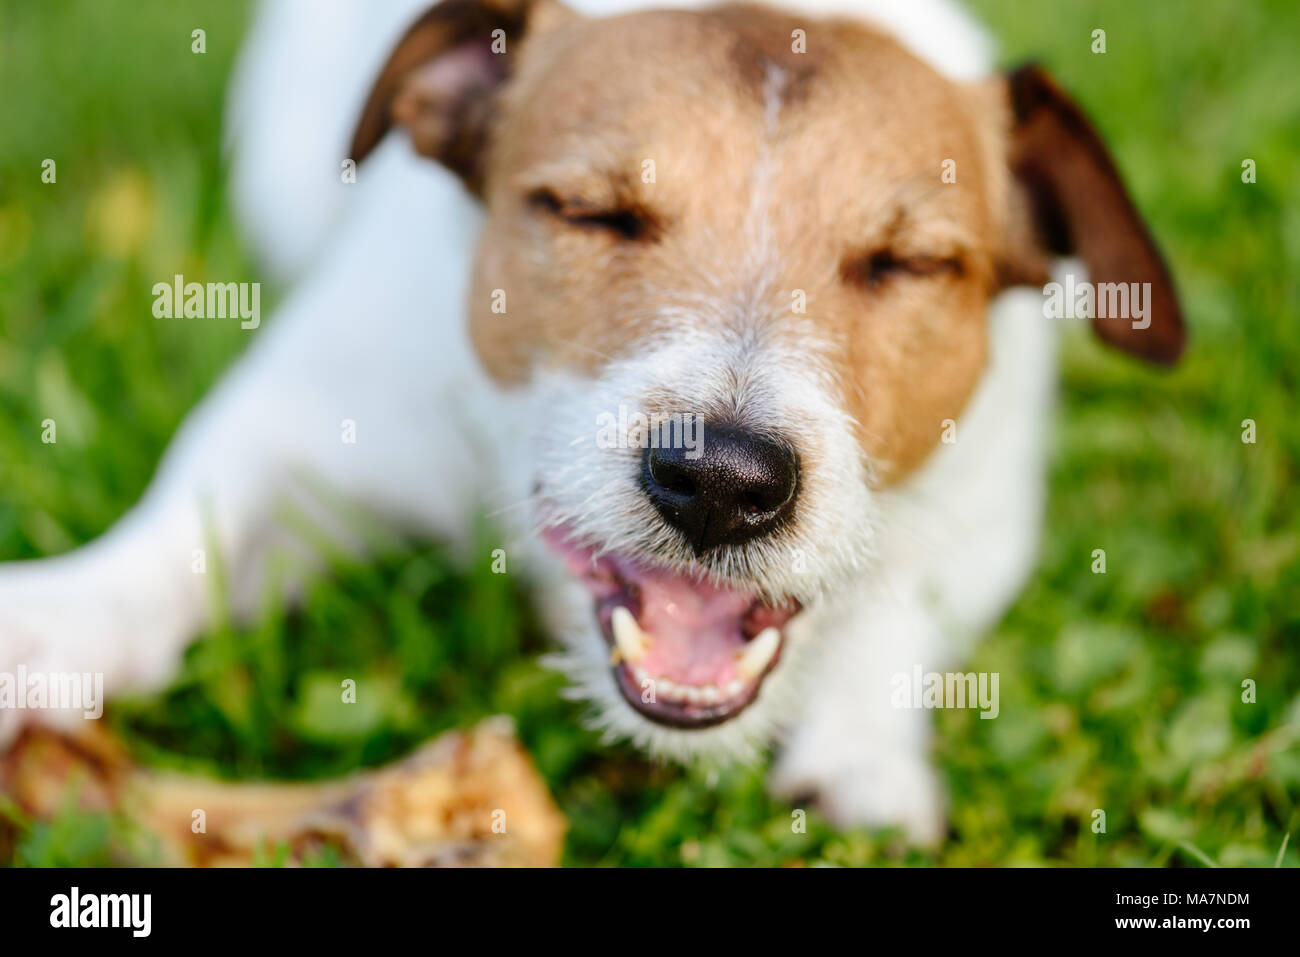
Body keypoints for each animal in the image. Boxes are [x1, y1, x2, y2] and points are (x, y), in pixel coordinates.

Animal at [0, 0, 1180, 842]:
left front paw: (863, 759)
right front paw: (56, 624)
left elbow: (897, 613)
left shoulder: (985, 511)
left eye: (909, 264)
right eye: (588, 212)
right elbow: (181, 532)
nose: (722, 482)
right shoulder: (311, 422)